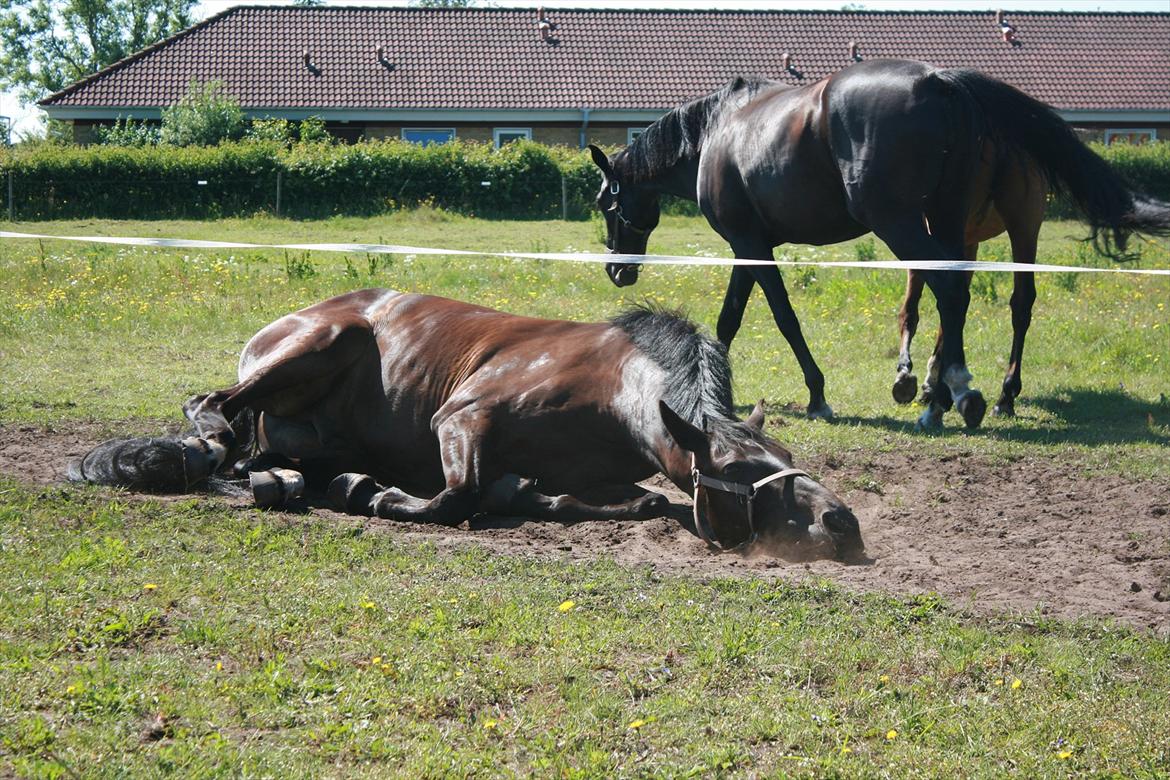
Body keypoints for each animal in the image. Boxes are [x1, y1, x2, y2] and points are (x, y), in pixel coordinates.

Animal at [70, 291, 861, 554]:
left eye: (782, 454)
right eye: (742, 470)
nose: (843, 521)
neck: (614, 392)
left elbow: (617, 502)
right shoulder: (464, 418)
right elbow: (457, 497)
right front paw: (382, 497)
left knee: (265, 456)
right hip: (322, 340)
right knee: (211, 410)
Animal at [594, 57, 1170, 430]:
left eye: (605, 202)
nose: (617, 270)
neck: (718, 132)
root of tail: (941, 81)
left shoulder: (749, 243)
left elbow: (782, 317)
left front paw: (818, 395)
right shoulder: (748, 245)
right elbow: (729, 318)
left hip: (905, 223)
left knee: (952, 290)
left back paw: (954, 394)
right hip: (949, 221)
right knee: (961, 293)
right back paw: (944, 396)